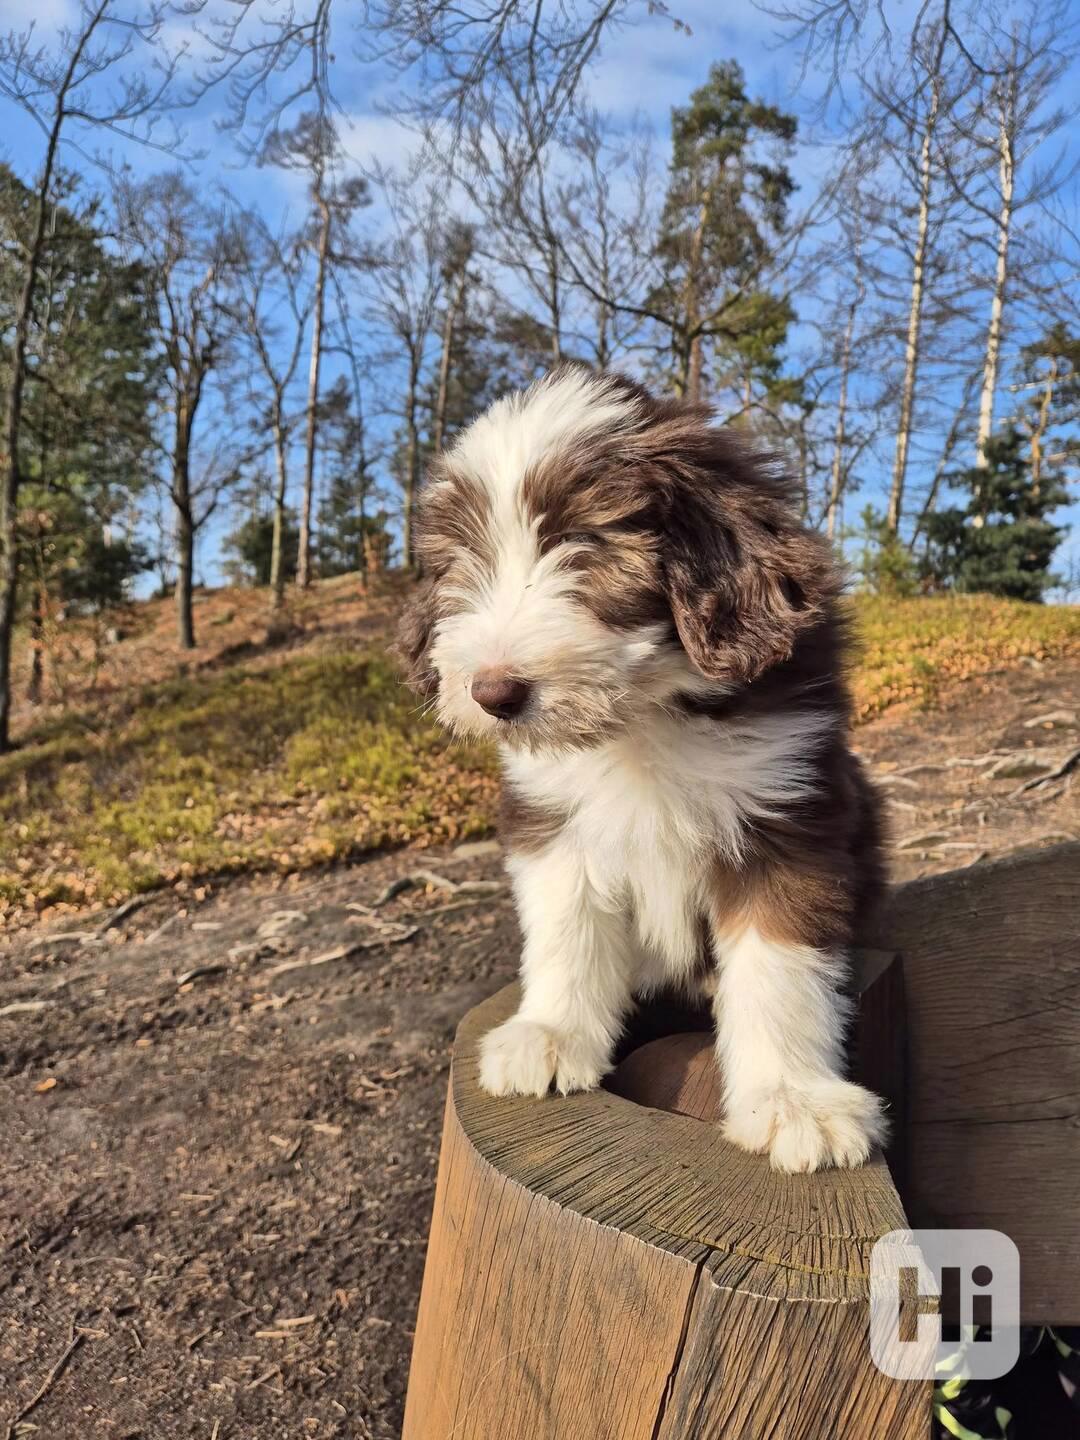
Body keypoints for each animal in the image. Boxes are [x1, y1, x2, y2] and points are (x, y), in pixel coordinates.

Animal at [397, 368, 887, 1169]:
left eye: (585, 542)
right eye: (461, 562)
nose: (493, 693)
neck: (641, 723)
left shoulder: (787, 810)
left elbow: (778, 967)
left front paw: (794, 1102)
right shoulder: (552, 819)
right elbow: (566, 929)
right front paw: (551, 1035)